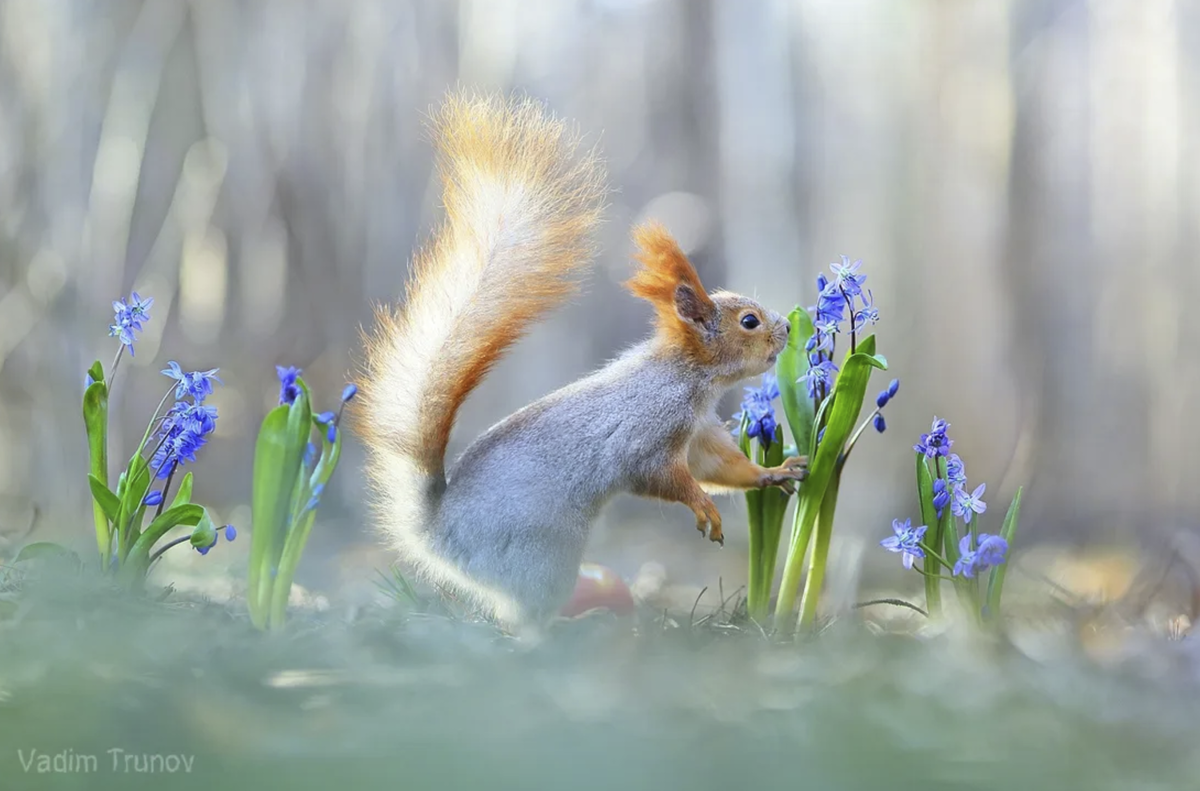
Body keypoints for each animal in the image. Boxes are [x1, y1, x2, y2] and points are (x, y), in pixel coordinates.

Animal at [355, 90, 806, 628]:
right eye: (749, 322)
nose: (786, 329)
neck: (688, 378)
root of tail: (437, 535)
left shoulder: (698, 436)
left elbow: (722, 468)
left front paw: (773, 473)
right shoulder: (647, 432)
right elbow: (663, 477)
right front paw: (703, 508)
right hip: (544, 557)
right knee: (524, 622)